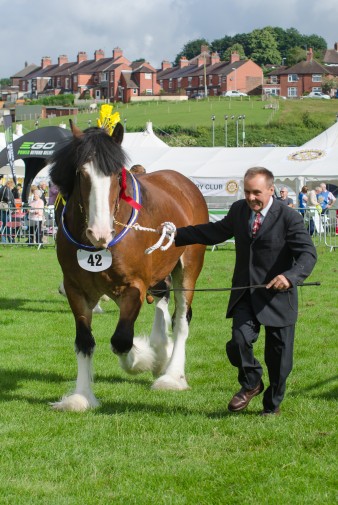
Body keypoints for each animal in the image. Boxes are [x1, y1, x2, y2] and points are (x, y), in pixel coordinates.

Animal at [49, 121, 209, 410]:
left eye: (116, 175)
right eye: (81, 172)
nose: (99, 233)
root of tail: (181, 182)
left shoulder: (134, 287)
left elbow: (122, 340)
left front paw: (143, 359)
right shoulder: (76, 289)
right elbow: (84, 341)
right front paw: (82, 396)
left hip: (189, 269)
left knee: (181, 320)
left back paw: (171, 375)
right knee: (161, 297)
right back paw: (161, 349)